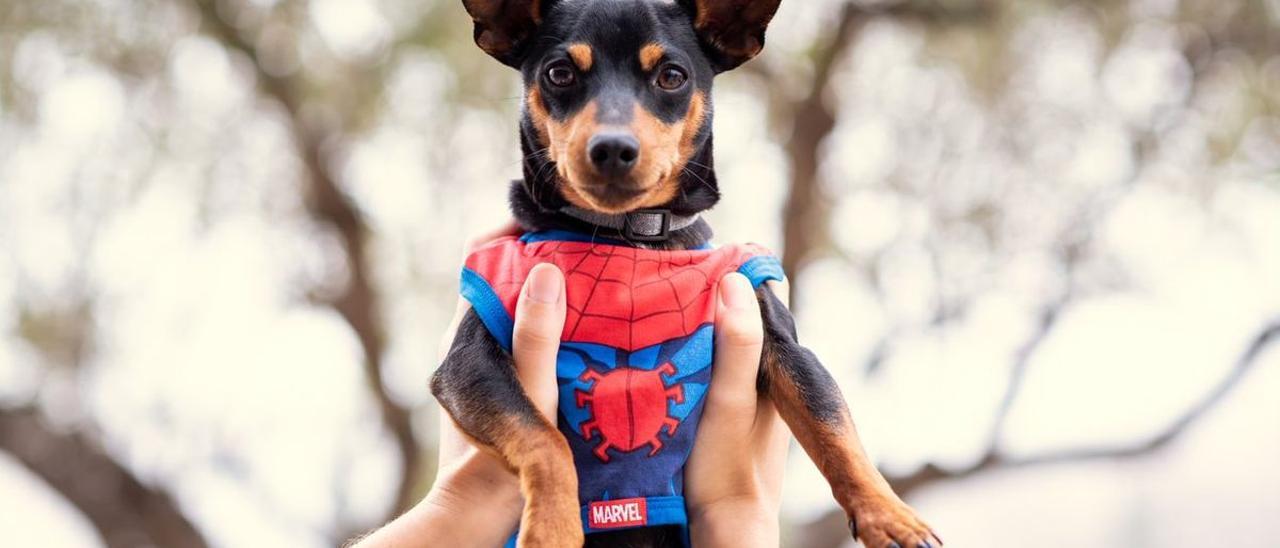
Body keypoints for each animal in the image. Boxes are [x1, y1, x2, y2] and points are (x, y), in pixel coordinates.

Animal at [430, 1, 942, 548]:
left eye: (672, 76)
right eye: (559, 74)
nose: (612, 148)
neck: (630, 236)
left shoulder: (785, 346)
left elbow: (832, 426)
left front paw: (891, 517)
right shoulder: (467, 364)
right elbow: (544, 439)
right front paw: (552, 529)